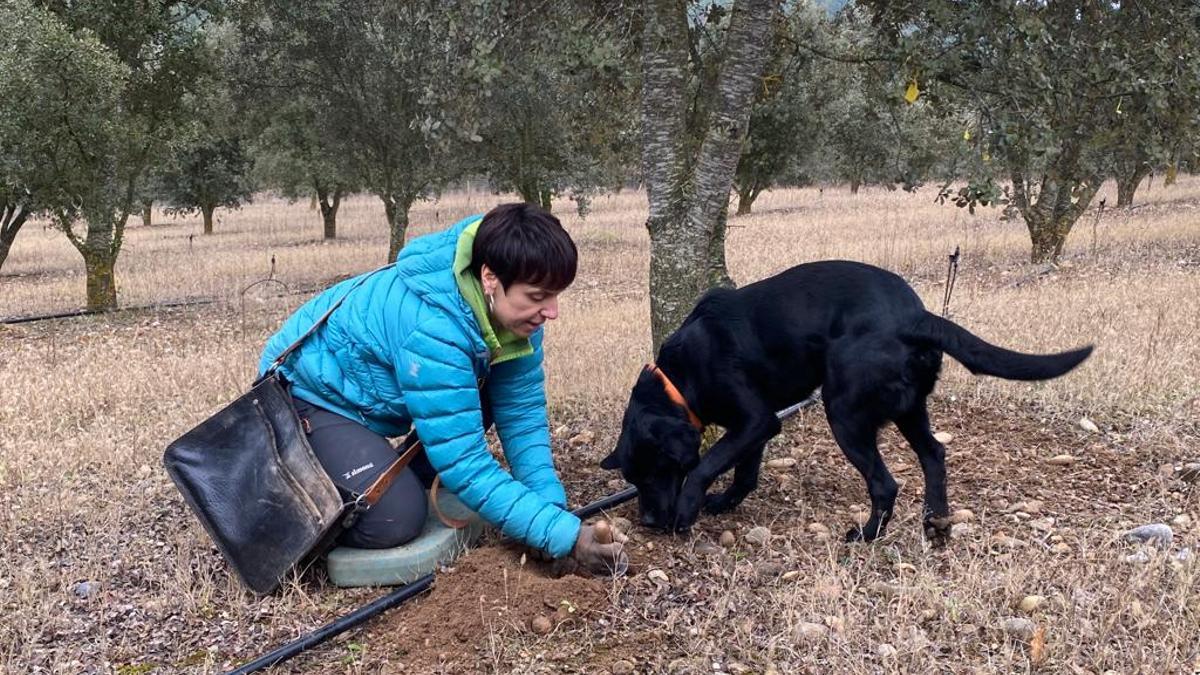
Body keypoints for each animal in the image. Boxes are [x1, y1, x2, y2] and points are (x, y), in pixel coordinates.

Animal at [604, 260, 1094, 542]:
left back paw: (867, 534)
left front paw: (688, 509)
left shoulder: (755, 420)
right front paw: (725, 502)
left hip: (843, 412)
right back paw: (935, 523)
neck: (676, 378)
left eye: (656, 470)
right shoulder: (758, 425)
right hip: (909, 409)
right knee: (934, 455)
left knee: (885, 484)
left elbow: (706, 465)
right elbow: (743, 471)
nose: (648, 522)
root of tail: (915, 316)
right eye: (633, 476)